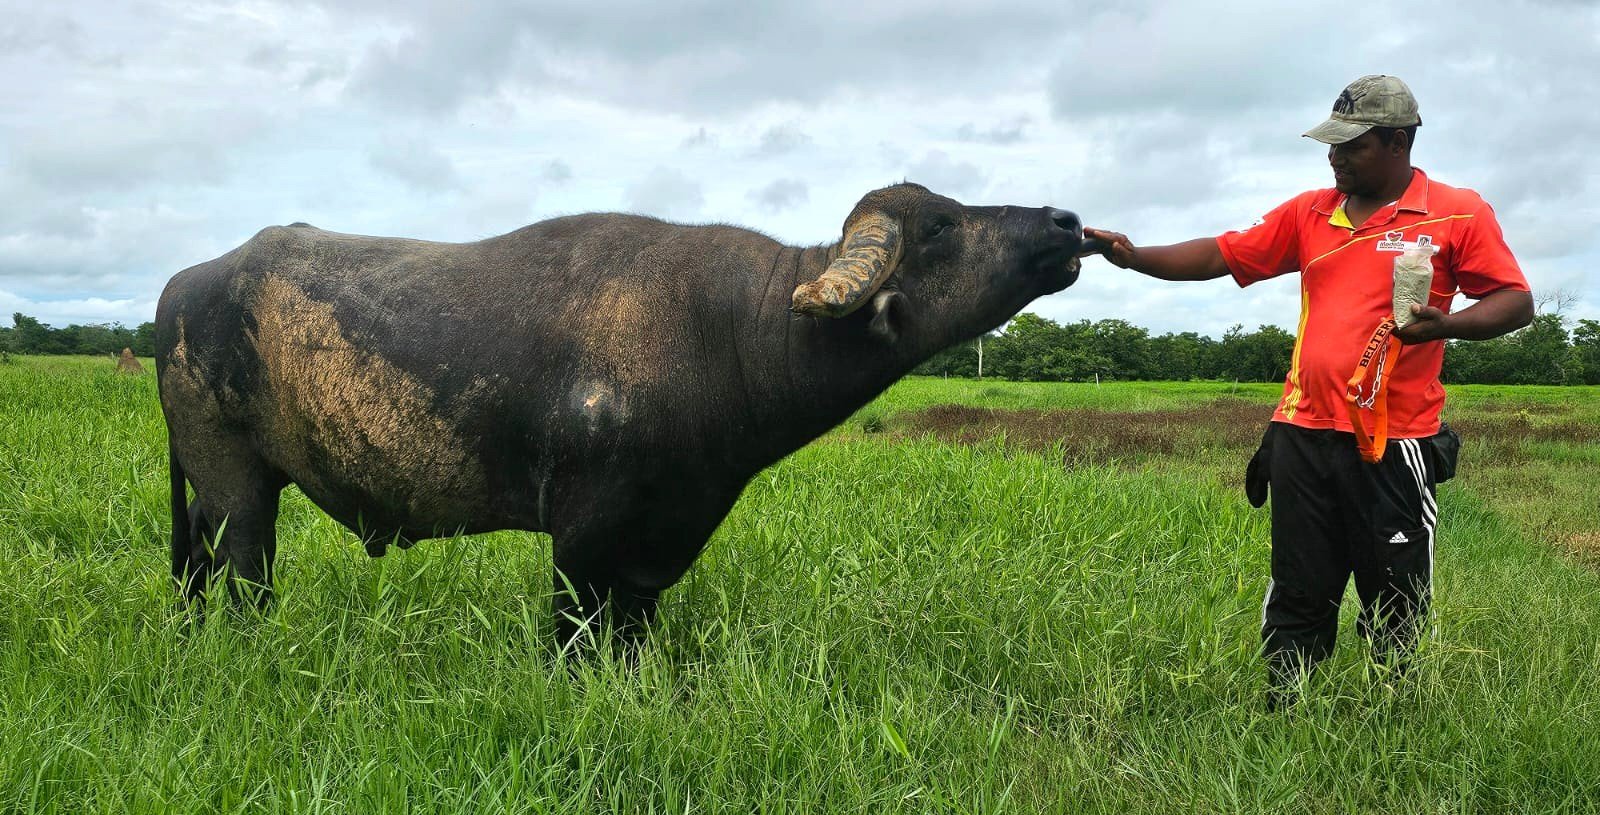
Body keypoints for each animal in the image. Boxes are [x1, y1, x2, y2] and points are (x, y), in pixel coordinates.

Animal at [156, 183, 1096, 647]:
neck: (730, 333)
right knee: (244, 573)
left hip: (212, 491)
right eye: (939, 225)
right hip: (240, 488)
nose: (1066, 221)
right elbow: (575, 636)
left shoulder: (657, 544)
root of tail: (180, 288)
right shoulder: (582, 538)